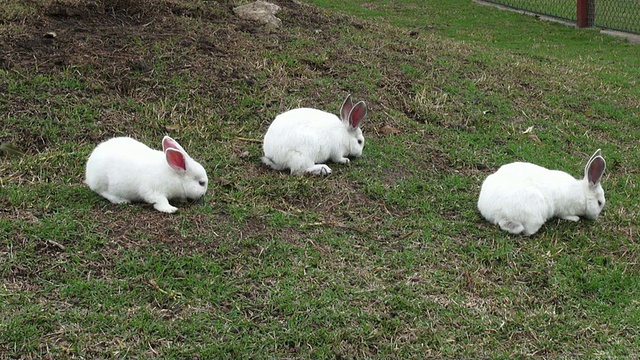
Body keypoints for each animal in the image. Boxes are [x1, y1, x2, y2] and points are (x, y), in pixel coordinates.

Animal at [478, 149, 608, 236]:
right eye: (599, 203)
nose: (596, 217)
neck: (583, 194)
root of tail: (492, 211)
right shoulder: (565, 210)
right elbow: (565, 215)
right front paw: (575, 218)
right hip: (535, 214)